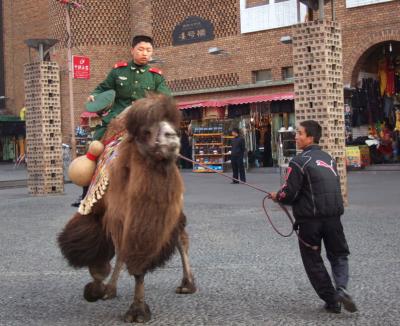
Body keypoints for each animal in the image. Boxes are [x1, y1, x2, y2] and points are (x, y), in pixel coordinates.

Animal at [57, 93, 197, 322]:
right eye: (146, 131)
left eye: (172, 126)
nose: (173, 138)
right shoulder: (113, 215)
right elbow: (112, 249)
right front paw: (99, 287)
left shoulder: (136, 222)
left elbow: (132, 258)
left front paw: (136, 310)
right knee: (177, 239)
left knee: (179, 240)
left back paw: (187, 284)